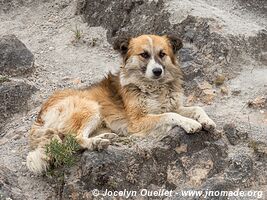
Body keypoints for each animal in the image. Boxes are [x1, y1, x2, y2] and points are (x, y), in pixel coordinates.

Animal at [26, 34, 216, 173]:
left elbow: (195, 107)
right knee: (76, 137)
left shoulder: (174, 105)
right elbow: (170, 115)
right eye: (144, 54)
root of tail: (40, 118)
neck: (154, 87)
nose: (157, 71)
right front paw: (190, 123)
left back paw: (105, 137)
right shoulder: (137, 121)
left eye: (162, 54)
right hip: (92, 108)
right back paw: (97, 143)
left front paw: (207, 120)